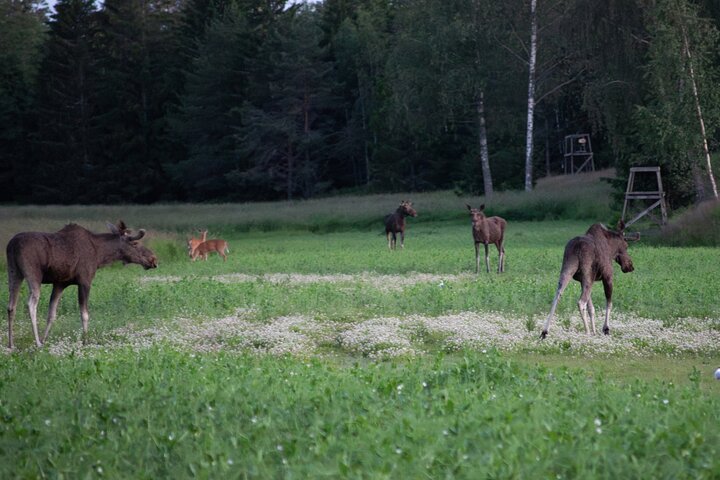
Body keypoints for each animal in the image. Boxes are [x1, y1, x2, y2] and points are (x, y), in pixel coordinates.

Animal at [5, 221, 158, 349]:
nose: (153, 259)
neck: (100, 255)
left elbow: (52, 314)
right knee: (31, 304)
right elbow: (84, 314)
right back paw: (36, 343)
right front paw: (85, 340)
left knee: (11, 306)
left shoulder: (60, 283)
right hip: (33, 274)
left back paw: (11, 344)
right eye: (135, 243)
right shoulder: (85, 280)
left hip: (14, 272)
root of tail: (12, 245)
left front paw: (45, 339)